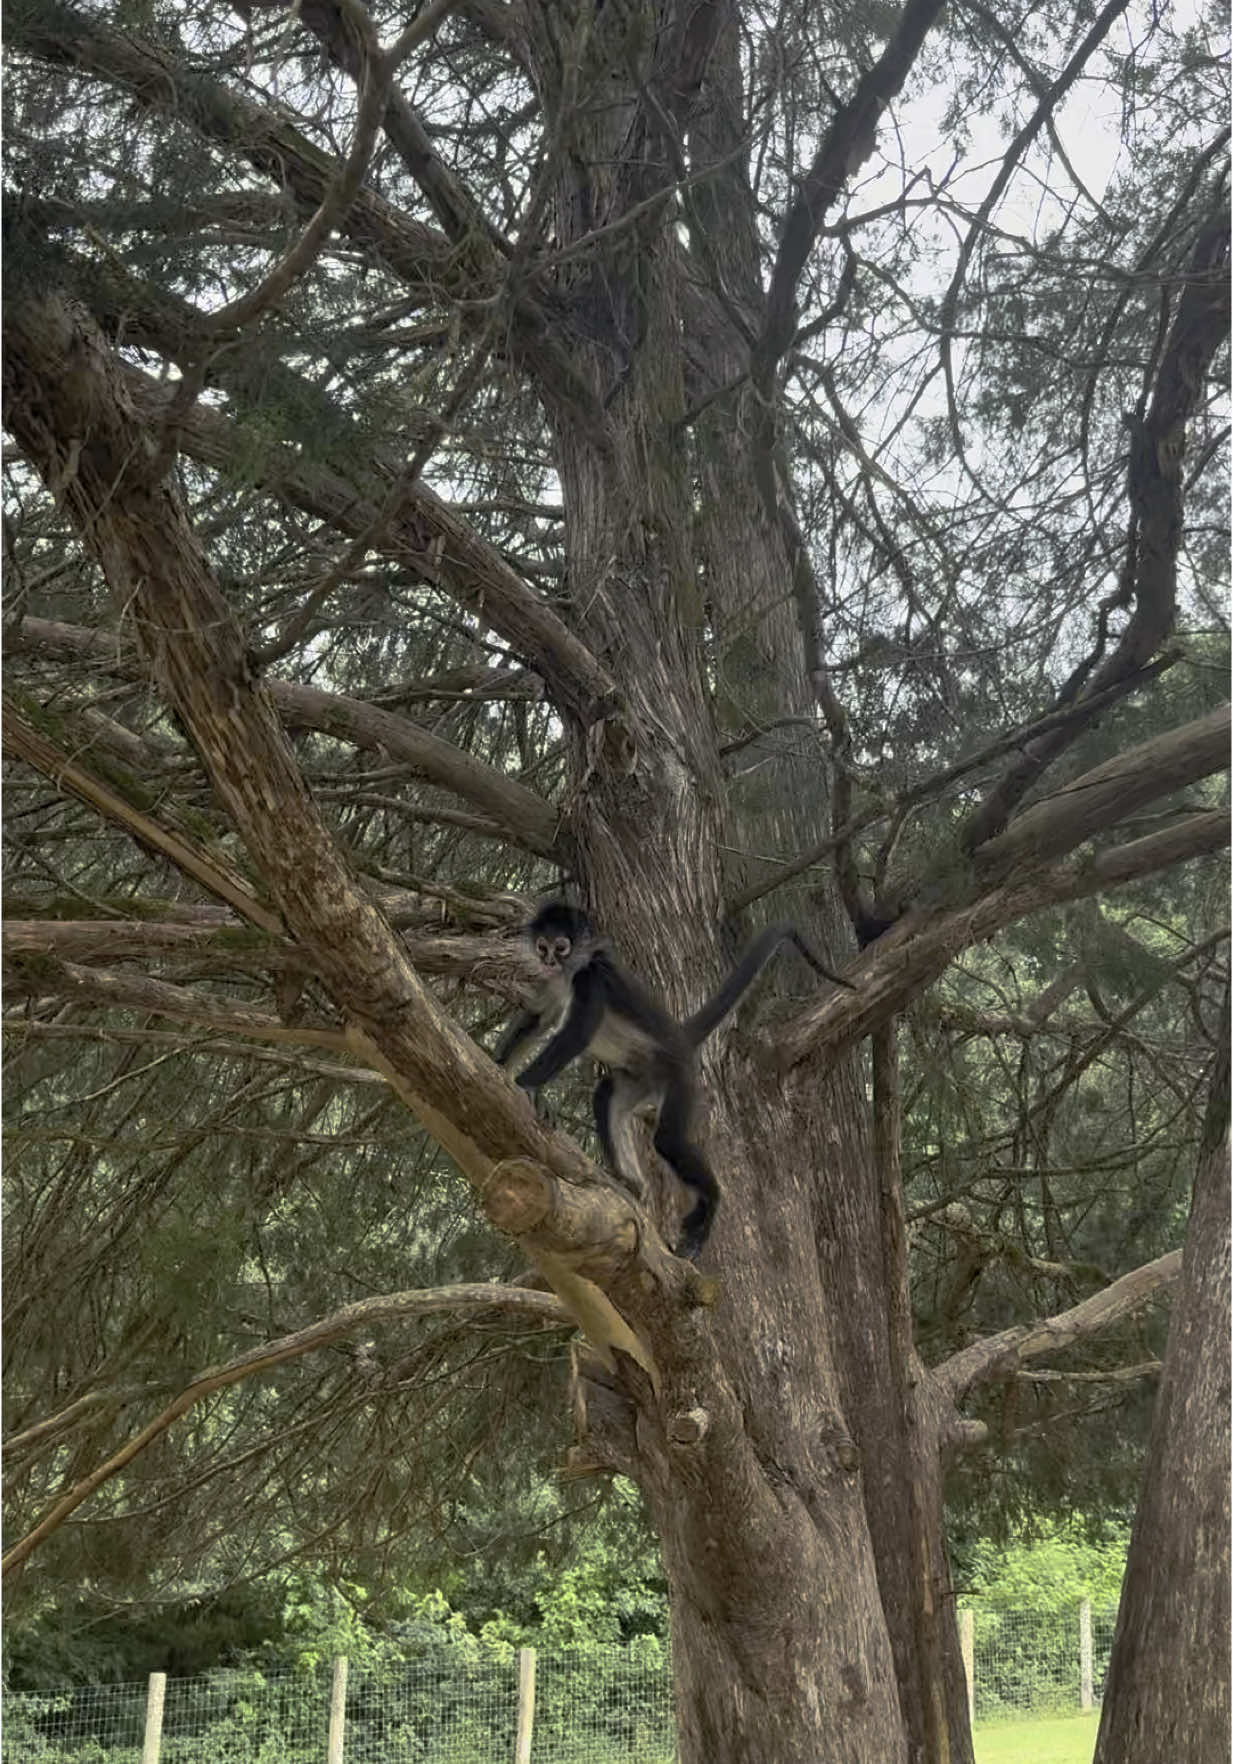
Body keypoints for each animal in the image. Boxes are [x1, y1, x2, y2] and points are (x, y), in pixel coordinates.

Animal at [495, 901, 852, 1261]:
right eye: (543, 947)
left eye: (561, 947)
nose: (549, 961)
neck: (573, 970)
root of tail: (678, 1040)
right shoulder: (557, 983)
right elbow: (537, 1020)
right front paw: (497, 1066)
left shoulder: (590, 980)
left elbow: (575, 1035)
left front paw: (528, 1086)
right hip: (640, 1079)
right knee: (606, 1093)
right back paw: (631, 1183)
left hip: (678, 1077)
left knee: (667, 1140)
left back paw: (709, 1204)